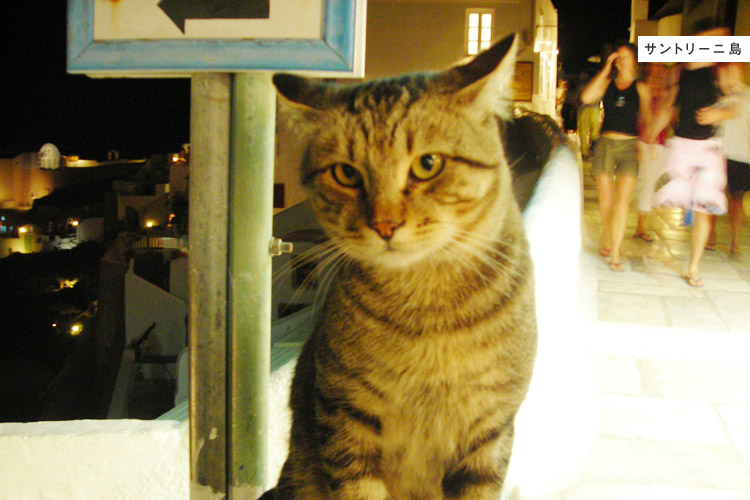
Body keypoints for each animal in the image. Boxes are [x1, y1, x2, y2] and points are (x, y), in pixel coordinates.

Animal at [263, 33, 537, 500]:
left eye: (428, 164)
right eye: (346, 173)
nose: (385, 224)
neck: (430, 308)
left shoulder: (490, 429)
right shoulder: (346, 420)